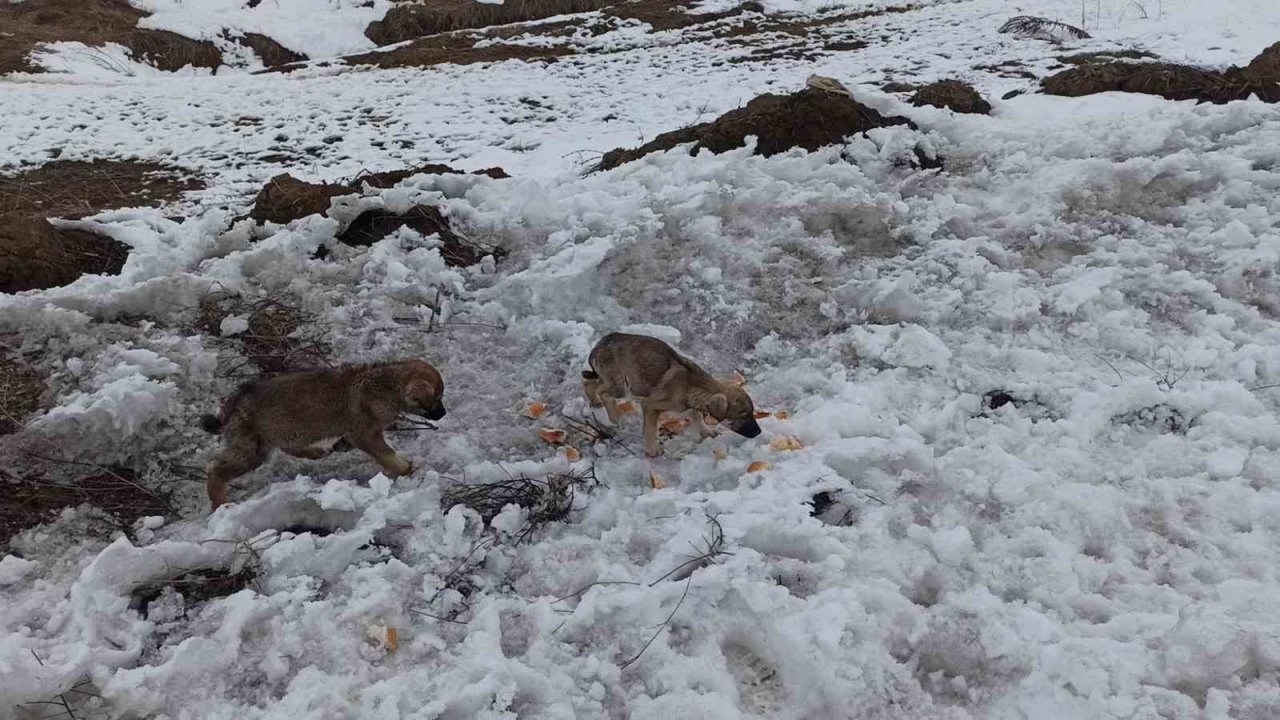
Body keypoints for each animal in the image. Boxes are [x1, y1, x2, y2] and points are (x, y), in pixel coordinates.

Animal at [195, 356, 445, 504]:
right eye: (435, 400)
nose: (443, 414)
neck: (388, 384)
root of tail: (234, 402)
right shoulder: (366, 433)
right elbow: (387, 454)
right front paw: (405, 468)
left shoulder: (358, 432)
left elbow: (352, 442)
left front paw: (341, 445)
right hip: (251, 451)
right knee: (216, 471)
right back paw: (220, 504)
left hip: (284, 433)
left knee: (289, 447)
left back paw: (316, 452)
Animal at [583, 333, 757, 453]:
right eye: (743, 416)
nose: (759, 432)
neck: (693, 385)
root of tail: (597, 347)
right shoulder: (650, 405)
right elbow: (650, 429)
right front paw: (652, 450)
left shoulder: (688, 406)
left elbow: (697, 418)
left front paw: (707, 432)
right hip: (622, 386)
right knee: (604, 393)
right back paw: (614, 418)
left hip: (609, 379)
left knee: (589, 383)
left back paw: (594, 402)